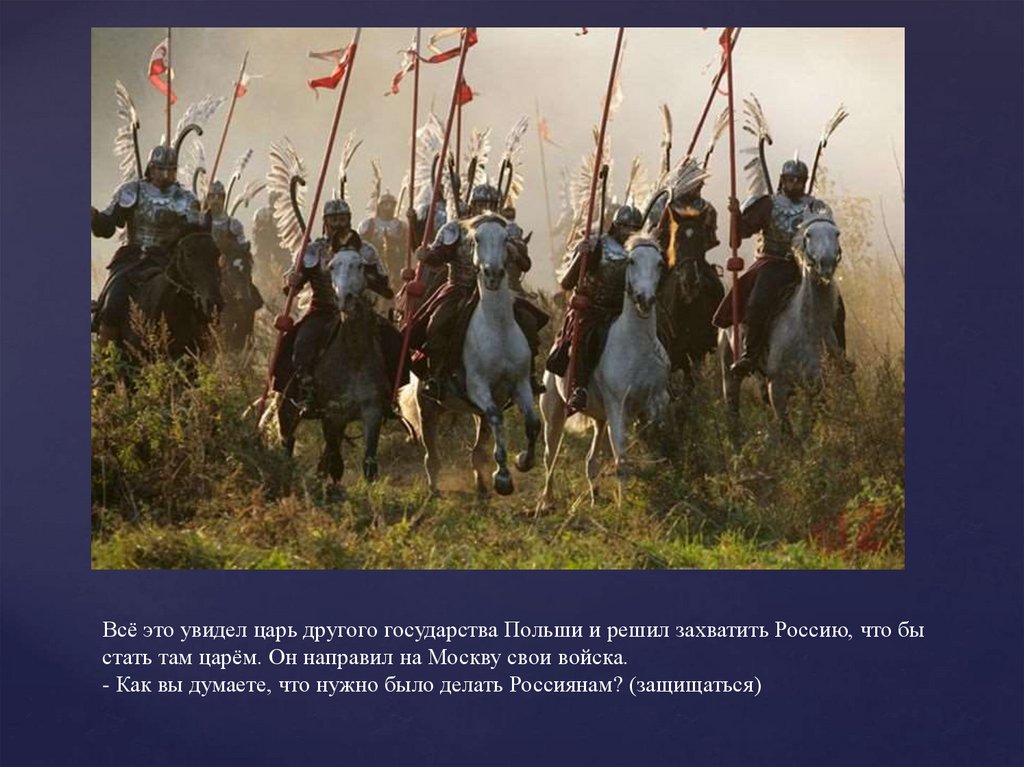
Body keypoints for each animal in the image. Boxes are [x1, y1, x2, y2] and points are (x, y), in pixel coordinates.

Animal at [276, 248, 391, 483]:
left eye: (360, 265)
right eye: (331, 267)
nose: (344, 298)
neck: (354, 356)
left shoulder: (372, 411)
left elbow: (369, 464)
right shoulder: (332, 414)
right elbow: (336, 463)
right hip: (288, 406)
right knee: (288, 439)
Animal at [399, 215, 540, 496]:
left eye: (506, 240)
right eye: (477, 239)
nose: (493, 275)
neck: (497, 329)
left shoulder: (520, 384)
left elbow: (533, 423)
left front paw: (523, 461)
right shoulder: (478, 387)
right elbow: (497, 416)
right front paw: (503, 478)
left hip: (474, 411)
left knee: (479, 446)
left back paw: (482, 486)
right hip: (427, 405)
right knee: (431, 452)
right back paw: (434, 487)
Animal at [539, 235, 671, 508]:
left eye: (660, 264)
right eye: (632, 261)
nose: (645, 299)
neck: (636, 345)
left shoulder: (657, 399)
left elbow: (657, 425)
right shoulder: (617, 406)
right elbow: (621, 456)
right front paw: (623, 505)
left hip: (599, 418)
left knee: (591, 460)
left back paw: (595, 497)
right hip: (554, 412)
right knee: (550, 455)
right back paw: (547, 501)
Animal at [720, 216, 843, 436]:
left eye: (836, 233)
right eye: (808, 235)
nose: (826, 263)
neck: (808, 330)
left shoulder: (815, 388)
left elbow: (804, 431)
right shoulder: (777, 387)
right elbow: (787, 432)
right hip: (728, 366)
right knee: (732, 407)